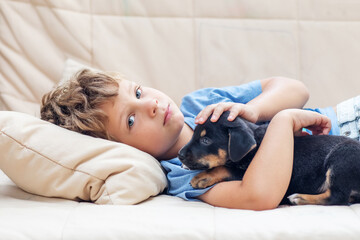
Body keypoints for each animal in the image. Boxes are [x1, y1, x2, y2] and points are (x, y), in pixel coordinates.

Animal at [178, 111, 360, 205]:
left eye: (205, 140)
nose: (179, 155)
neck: (254, 144)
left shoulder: (246, 171)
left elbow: (226, 167)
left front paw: (202, 177)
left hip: (341, 159)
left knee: (338, 197)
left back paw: (299, 197)